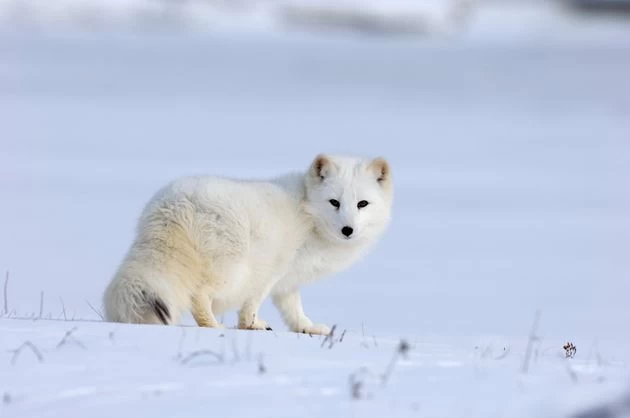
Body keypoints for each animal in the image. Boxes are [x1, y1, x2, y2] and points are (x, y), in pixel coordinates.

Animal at [103, 153, 392, 334]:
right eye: (334, 202)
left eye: (362, 204)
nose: (347, 230)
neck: (308, 214)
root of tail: (174, 205)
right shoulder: (270, 270)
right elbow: (252, 303)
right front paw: (250, 326)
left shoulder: (288, 282)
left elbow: (293, 310)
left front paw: (307, 328)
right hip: (235, 270)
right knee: (198, 295)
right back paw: (214, 326)